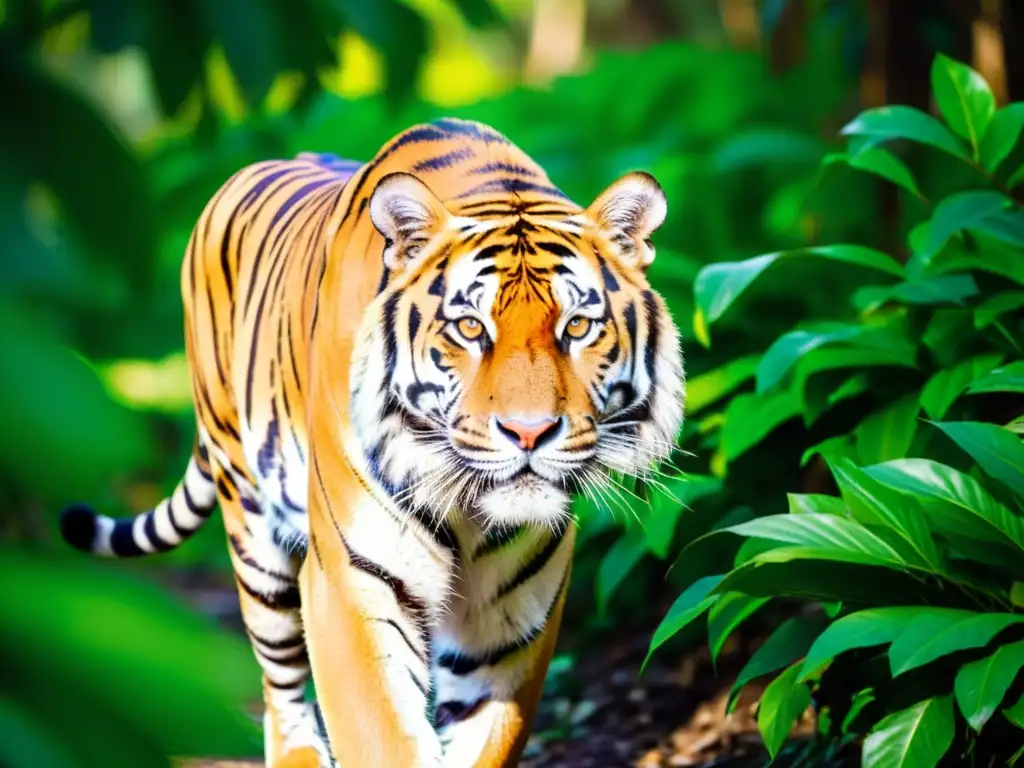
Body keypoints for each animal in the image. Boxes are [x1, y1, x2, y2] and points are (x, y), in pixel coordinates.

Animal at [64, 118, 688, 768]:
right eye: (470, 328)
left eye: (578, 326)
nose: (529, 432)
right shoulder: (351, 584)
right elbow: (382, 737)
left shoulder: (513, 614)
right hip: (252, 530)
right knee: (279, 684)